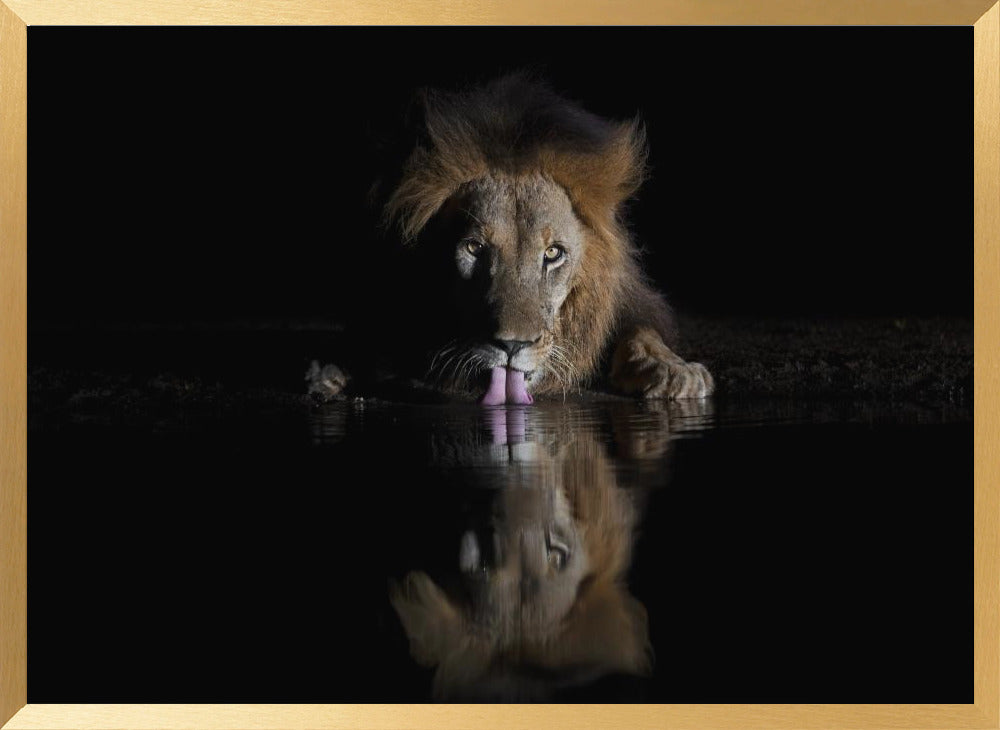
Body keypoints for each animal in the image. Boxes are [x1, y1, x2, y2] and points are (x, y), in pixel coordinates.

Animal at [312, 73, 714, 404]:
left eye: (553, 253)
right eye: (474, 248)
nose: (511, 345)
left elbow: (642, 332)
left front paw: (674, 371)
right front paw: (331, 369)